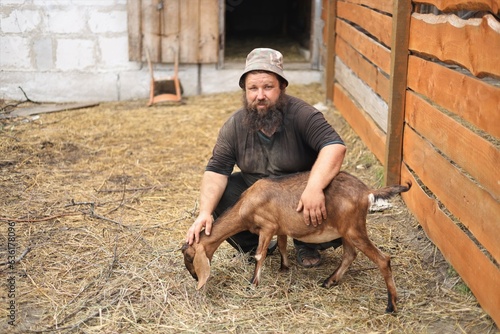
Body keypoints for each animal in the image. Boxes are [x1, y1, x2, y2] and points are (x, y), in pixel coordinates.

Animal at [183, 171, 410, 312]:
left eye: (189, 256)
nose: (194, 277)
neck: (245, 206)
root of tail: (367, 191)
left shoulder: (267, 227)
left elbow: (259, 255)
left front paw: (252, 283)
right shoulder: (281, 228)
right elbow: (283, 246)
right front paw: (284, 267)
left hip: (354, 229)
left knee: (383, 259)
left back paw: (391, 306)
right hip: (347, 231)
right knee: (350, 254)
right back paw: (329, 281)